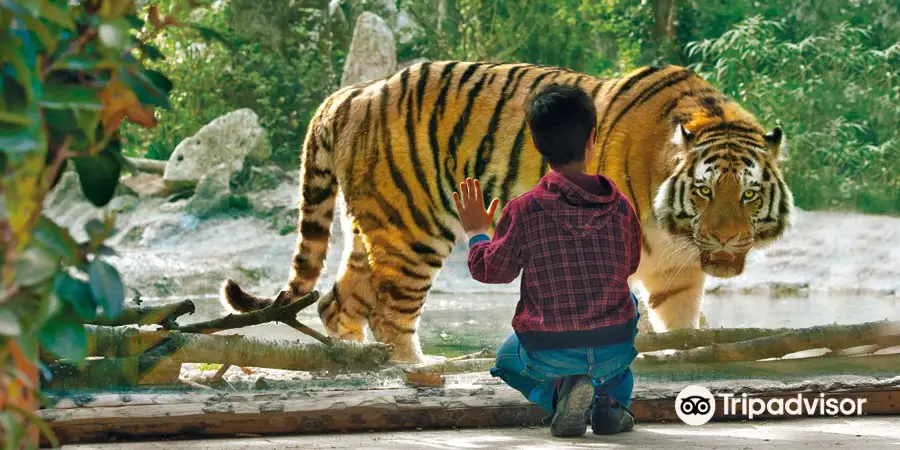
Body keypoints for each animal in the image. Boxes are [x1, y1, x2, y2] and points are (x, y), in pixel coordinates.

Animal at [221, 60, 792, 362]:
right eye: (704, 191)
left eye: (747, 194)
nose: (724, 240)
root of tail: (355, 90)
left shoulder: (677, 274)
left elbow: (680, 325)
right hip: (412, 230)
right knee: (388, 311)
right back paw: (411, 369)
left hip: (371, 227)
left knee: (337, 302)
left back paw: (357, 361)